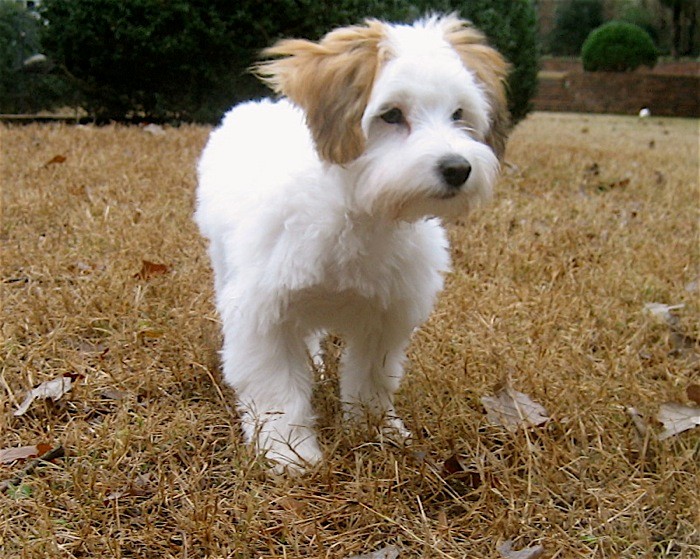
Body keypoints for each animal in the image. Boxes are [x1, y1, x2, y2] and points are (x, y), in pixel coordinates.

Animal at [196, 14, 508, 472]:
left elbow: (369, 378)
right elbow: (277, 388)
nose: (457, 168)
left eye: (458, 114)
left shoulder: (385, 317)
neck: (358, 208)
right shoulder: (263, 312)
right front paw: (289, 451)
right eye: (391, 115)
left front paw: (376, 430)